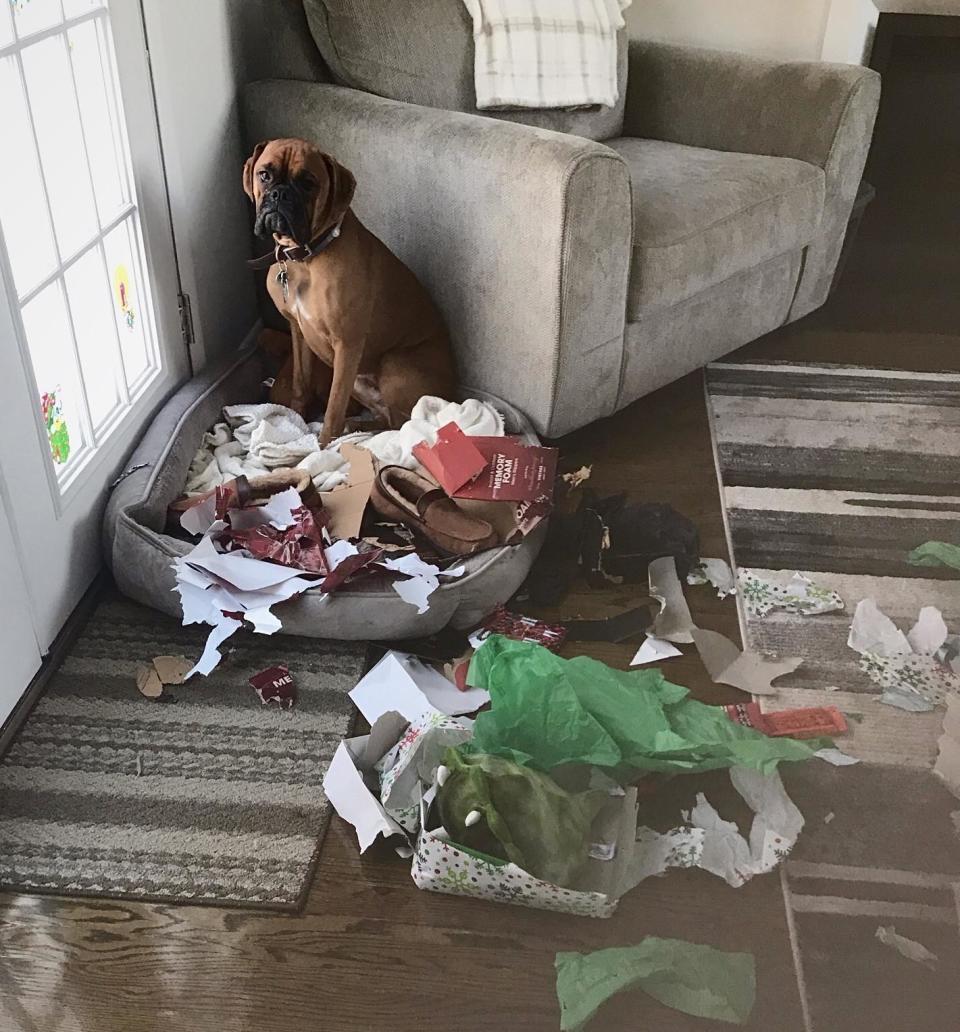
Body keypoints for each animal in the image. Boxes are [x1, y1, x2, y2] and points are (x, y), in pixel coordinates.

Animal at [244, 137, 458, 443]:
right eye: (264, 174)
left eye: (308, 183)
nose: (279, 195)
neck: (306, 258)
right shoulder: (299, 332)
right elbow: (300, 382)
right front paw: (297, 423)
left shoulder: (347, 345)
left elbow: (333, 410)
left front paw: (322, 446)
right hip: (359, 381)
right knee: (389, 420)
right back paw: (356, 427)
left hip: (392, 366)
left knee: (405, 424)